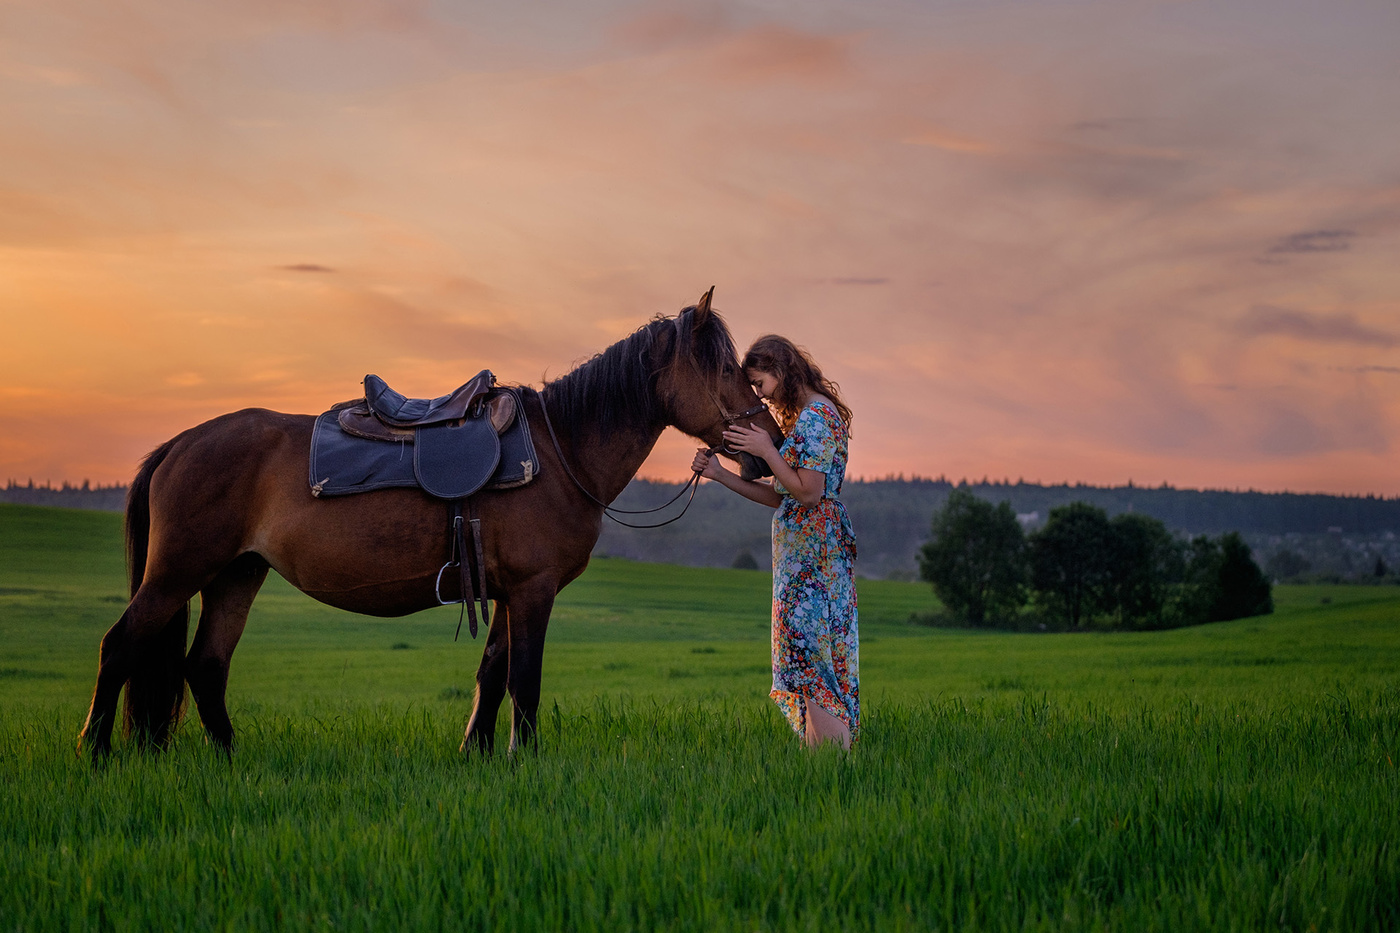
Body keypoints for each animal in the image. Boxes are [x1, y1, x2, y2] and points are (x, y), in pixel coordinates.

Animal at [76, 291, 784, 756]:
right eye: (726, 369)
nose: (768, 444)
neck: (560, 451)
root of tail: (180, 443)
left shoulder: (507, 592)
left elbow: (491, 674)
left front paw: (477, 755)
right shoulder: (534, 591)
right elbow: (523, 680)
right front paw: (525, 761)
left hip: (236, 575)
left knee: (205, 666)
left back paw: (230, 760)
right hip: (178, 573)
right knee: (121, 645)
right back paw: (98, 753)